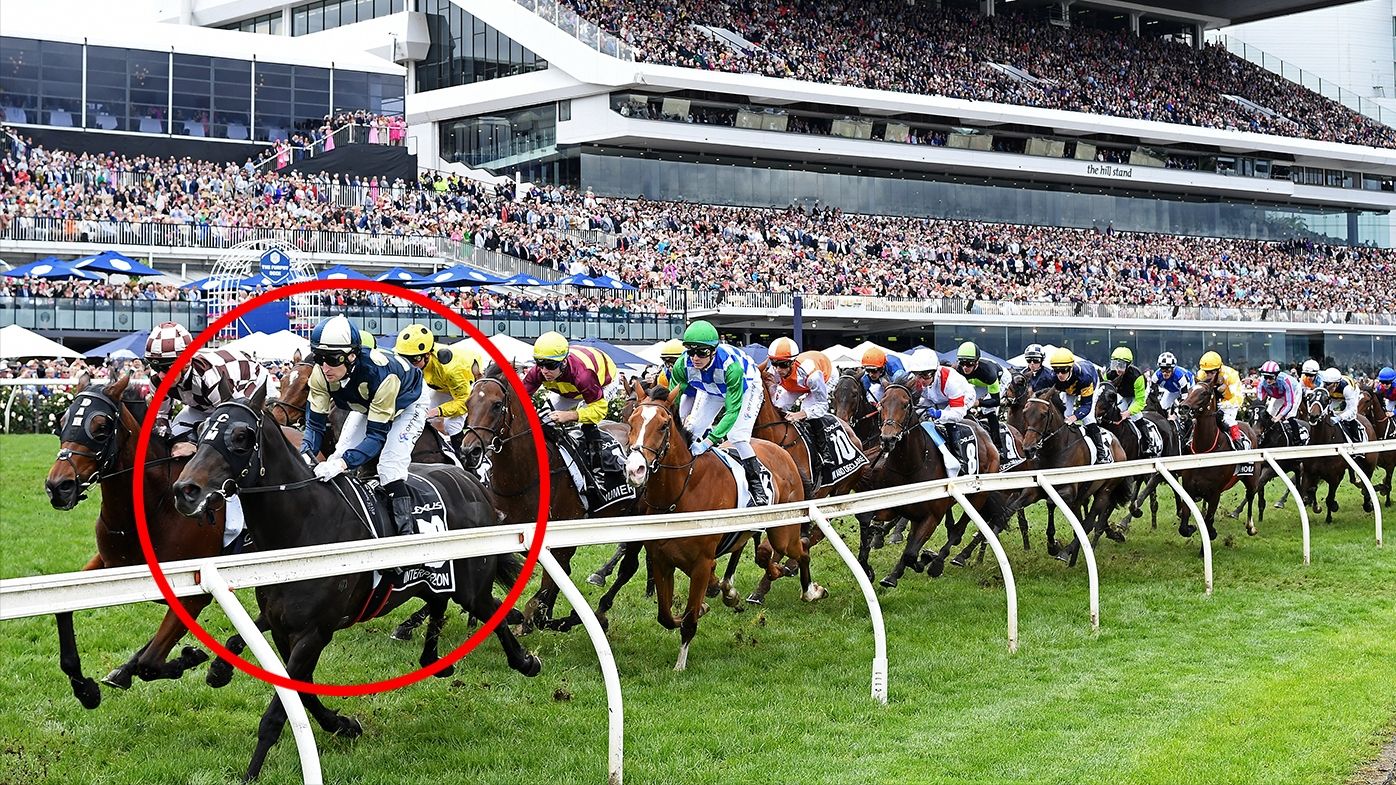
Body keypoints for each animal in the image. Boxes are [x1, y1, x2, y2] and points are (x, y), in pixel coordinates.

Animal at [42, 368, 223, 706]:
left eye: (101, 427)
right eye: (62, 421)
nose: (58, 486)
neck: (153, 505)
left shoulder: (197, 590)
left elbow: (151, 663)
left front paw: (188, 657)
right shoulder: (110, 562)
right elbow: (63, 606)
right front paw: (85, 688)